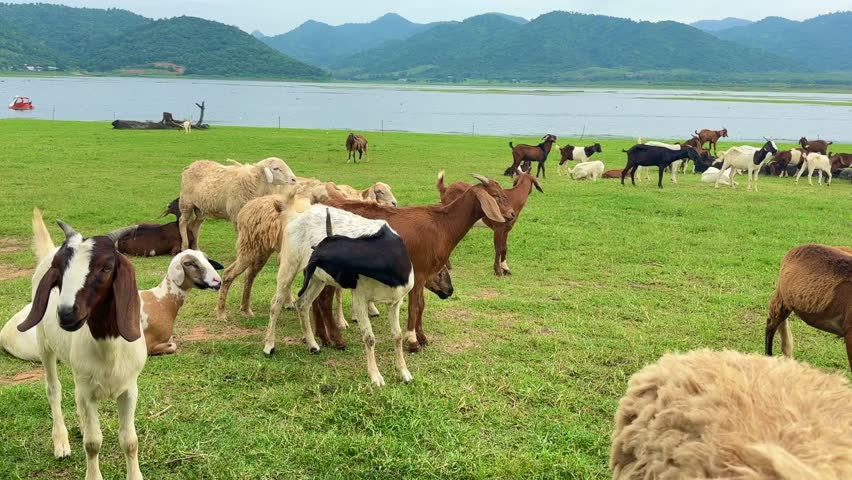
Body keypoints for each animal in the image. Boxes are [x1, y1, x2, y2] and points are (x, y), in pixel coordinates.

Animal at [17, 209, 146, 479]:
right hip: (44, 345)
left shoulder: (130, 388)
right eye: (58, 269)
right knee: (53, 390)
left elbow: (130, 441)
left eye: (106, 267)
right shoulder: (87, 390)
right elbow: (93, 443)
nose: (66, 313)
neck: (109, 351)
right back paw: (61, 442)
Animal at [295, 209, 414, 386]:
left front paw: (404, 372)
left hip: (317, 281)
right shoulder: (360, 299)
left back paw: (312, 344)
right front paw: (375, 376)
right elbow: (369, 338)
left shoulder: (395, 302)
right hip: (301, 272)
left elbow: (397, 336)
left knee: (302, 303)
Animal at [308, 173, 515, 352]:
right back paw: (337, 340)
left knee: (315, 300)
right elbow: (414, 307)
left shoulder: (425, 275)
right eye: (496, 195)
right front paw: (413, 342)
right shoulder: (419, 272)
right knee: (323, 301)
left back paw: (323, 337)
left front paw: (422, 337)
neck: (443, 225)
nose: (512, 214)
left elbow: (421, 305)